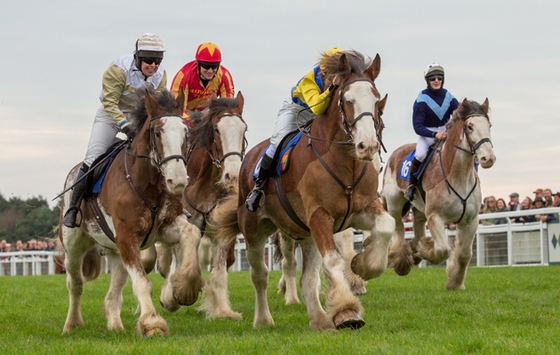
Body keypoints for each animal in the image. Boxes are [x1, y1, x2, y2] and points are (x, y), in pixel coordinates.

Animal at [57, 89, 201, 336]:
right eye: (157, 132)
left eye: (186, 132)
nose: (178, 180)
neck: (148, 184)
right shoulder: (127, 237)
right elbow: (143, 283)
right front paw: (152, 323)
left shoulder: (164, 228)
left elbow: (192, 233)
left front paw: (183, 290)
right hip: (74, 244)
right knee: (75, 284)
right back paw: (71, 324)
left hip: (115, 252)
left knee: (112, 295)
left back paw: (116, 326)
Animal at [154, 92, 248, 320]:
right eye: (217, 130)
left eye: (244, 129)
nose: (233, 175)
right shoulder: (183, 225)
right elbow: (180, 261)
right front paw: (171, 296)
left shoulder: (220, 232)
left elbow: (219, 272)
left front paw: (223, 310)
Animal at [212, 51, 396, 332]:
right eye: (348, 100)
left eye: (376, 101)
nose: (367, 146)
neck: (346, 163)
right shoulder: (320, 216)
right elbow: (333, 260)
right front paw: (346, 310)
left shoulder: (362, 209)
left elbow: (386, 226)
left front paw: (363, 266)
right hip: (254, 229)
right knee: (259, 275)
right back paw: (263, 319)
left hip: (305, 234)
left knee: (307, 279)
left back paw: (319, 319)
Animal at [382, 98, 496, 290]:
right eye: (470, 127)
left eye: (489, 125)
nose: (488, 158)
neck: (458, 177)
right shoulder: (436, 217)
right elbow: (442, 250)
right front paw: (425, 249)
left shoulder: (470, 220)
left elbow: (464, 254)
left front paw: (455, 283)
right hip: (394, 204)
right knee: (398, 227)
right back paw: (403, 259)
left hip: (419, 208)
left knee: (418, 224)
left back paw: (416, 247)